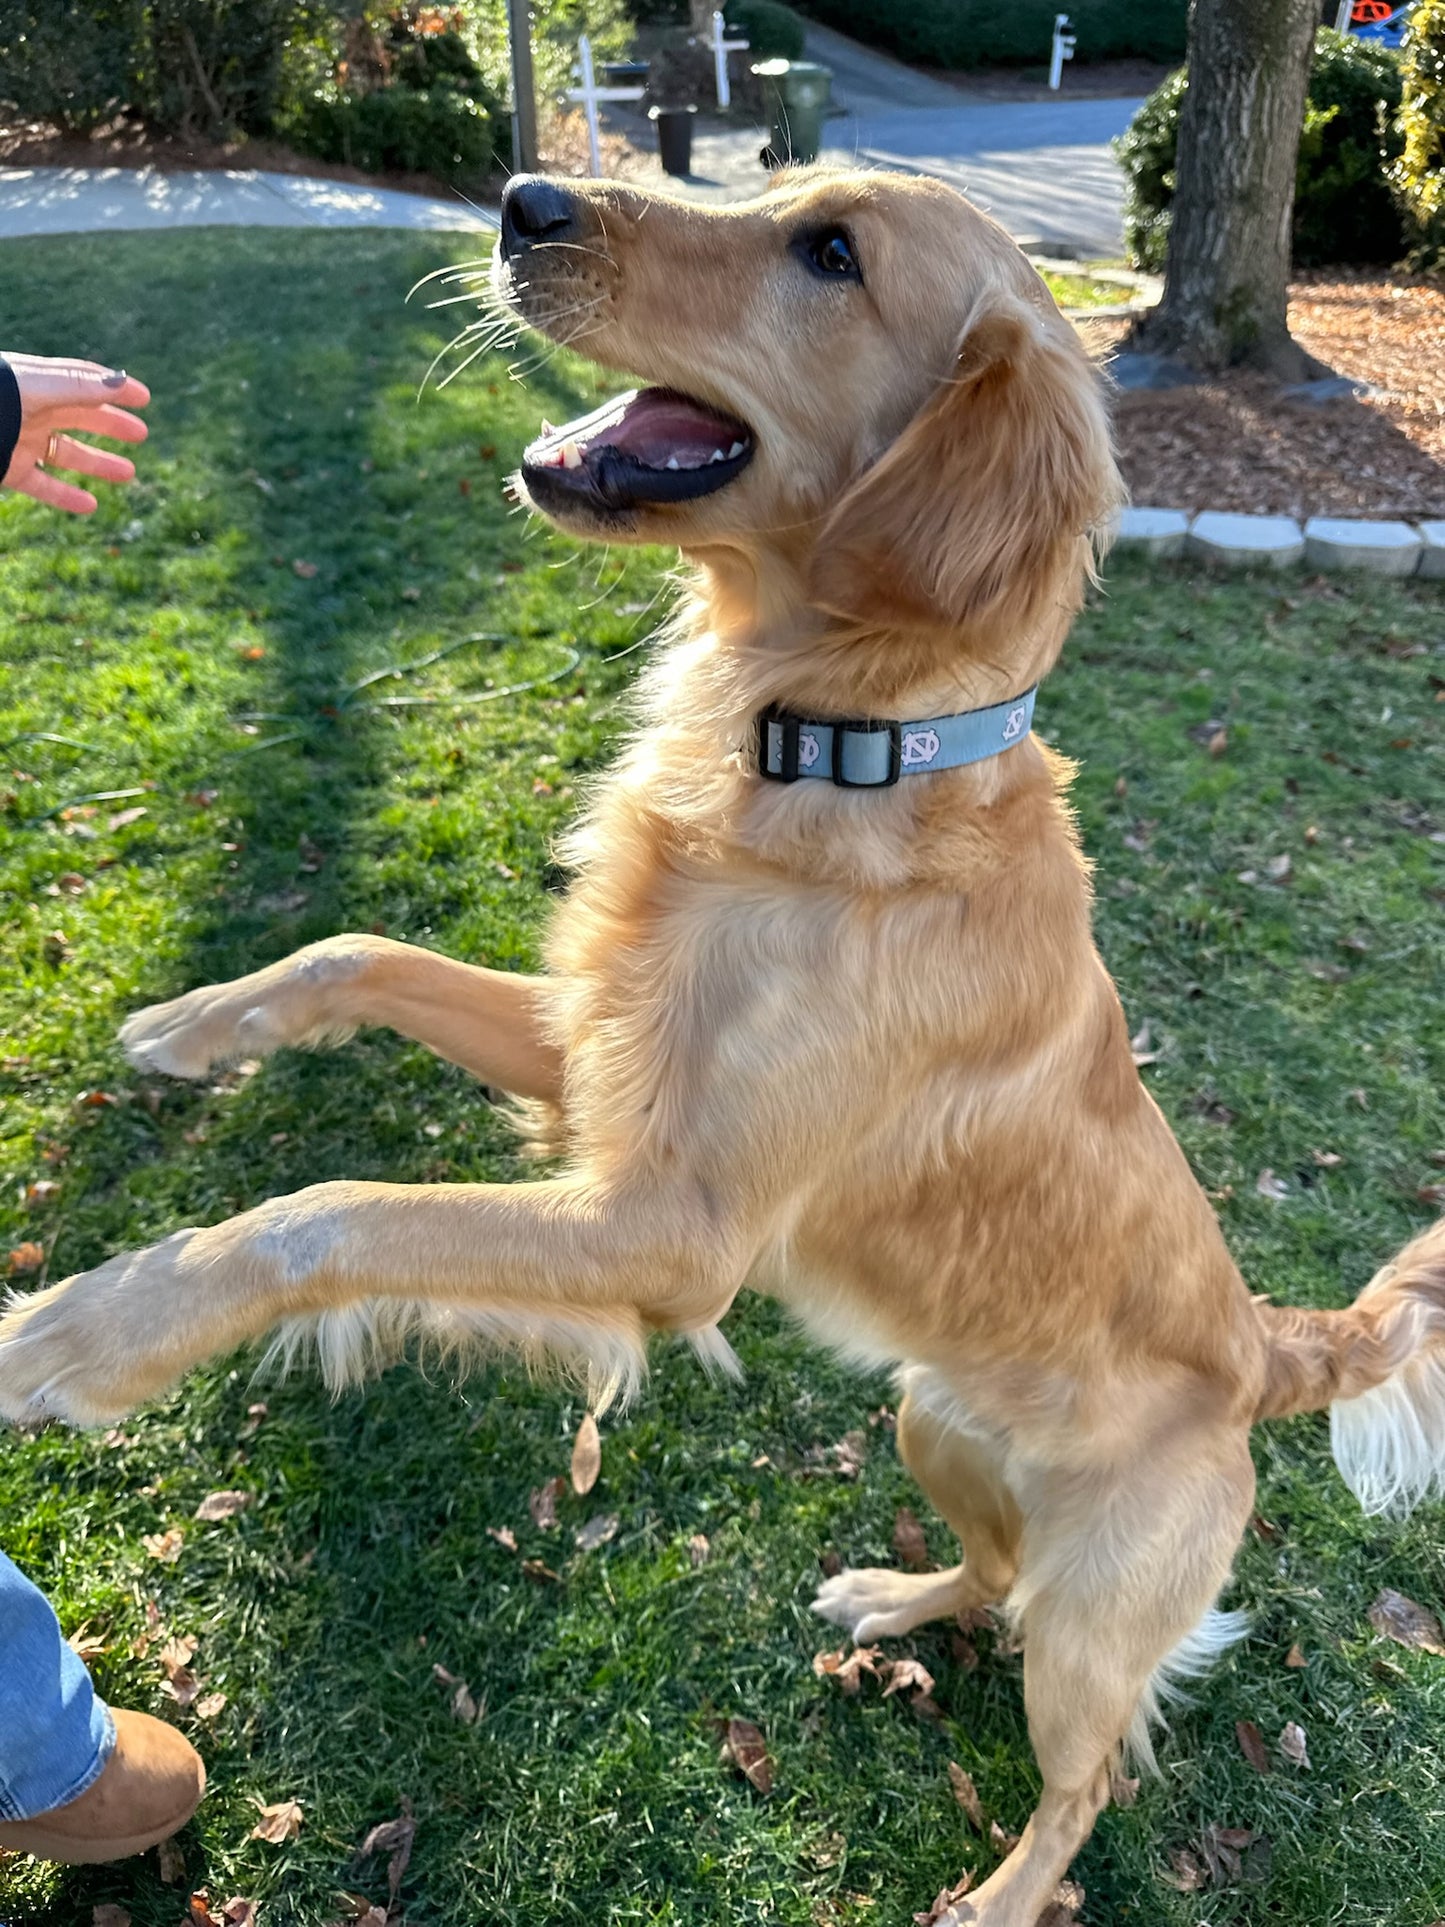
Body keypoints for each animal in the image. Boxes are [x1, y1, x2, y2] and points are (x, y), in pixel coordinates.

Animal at [2, 173, 1445, 1919]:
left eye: (830, 252)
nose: (521, 199)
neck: (835, 745)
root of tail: (1268, 1345)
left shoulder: (672, 1227)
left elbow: (327, 1214)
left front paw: (76, 1332)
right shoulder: (599, 1060)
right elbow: (358, 953)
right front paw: (192, 1025)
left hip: (1098, 1621)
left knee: (1086, 1773)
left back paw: (1000, 1892)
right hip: (930, 1421)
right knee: (990, 1570)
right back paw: (893, 1596)